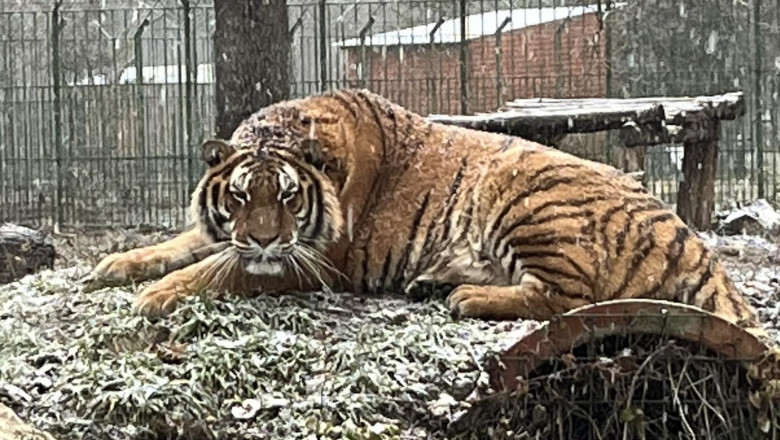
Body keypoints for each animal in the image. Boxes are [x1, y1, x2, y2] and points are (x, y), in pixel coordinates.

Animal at [85, 88, 760, 336]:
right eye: (240, 196)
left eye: (288, 198)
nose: (264, 240)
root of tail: (688, 236)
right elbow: (182, 245)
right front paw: (117, 265)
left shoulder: (313, 261)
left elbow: (215, 270)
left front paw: (155, 296)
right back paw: (435, 282)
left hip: (525, 194)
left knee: (569, 299)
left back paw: (466, 297)